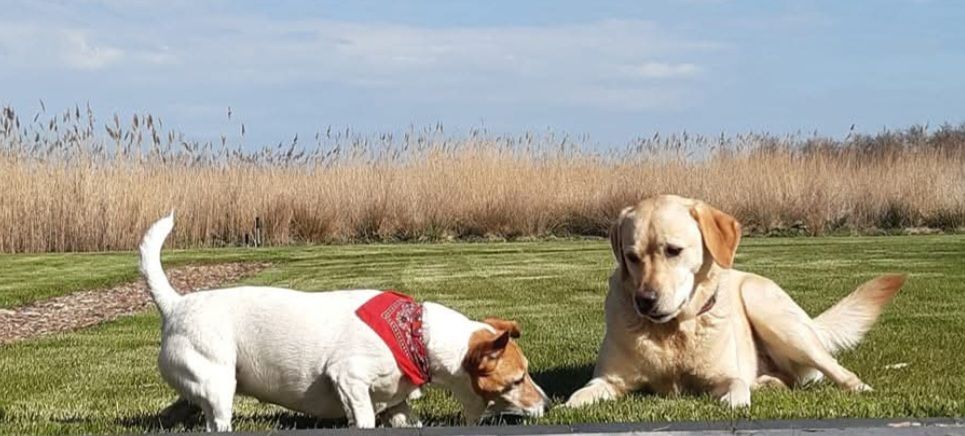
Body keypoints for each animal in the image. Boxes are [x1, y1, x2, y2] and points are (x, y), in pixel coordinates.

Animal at [139, 214, 549, 431]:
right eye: (517, 380)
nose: (548, 403)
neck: (416, 335)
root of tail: (175, 304)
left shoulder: (398, 405)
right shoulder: (349, 379)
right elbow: (363, 417)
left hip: (201, 385)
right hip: (220, 383)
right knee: (217, 422)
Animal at [565, 195, 905, 408]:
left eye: (673, 250)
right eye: (632, 257)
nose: (645, 301)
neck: (674, 332)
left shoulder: (727, 376)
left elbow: (737, 388)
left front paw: (733, 401)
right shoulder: (609, 380)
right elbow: (578, 396)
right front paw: (566, 406)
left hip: (771, 312)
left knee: (834, 367)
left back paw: (859, 388)